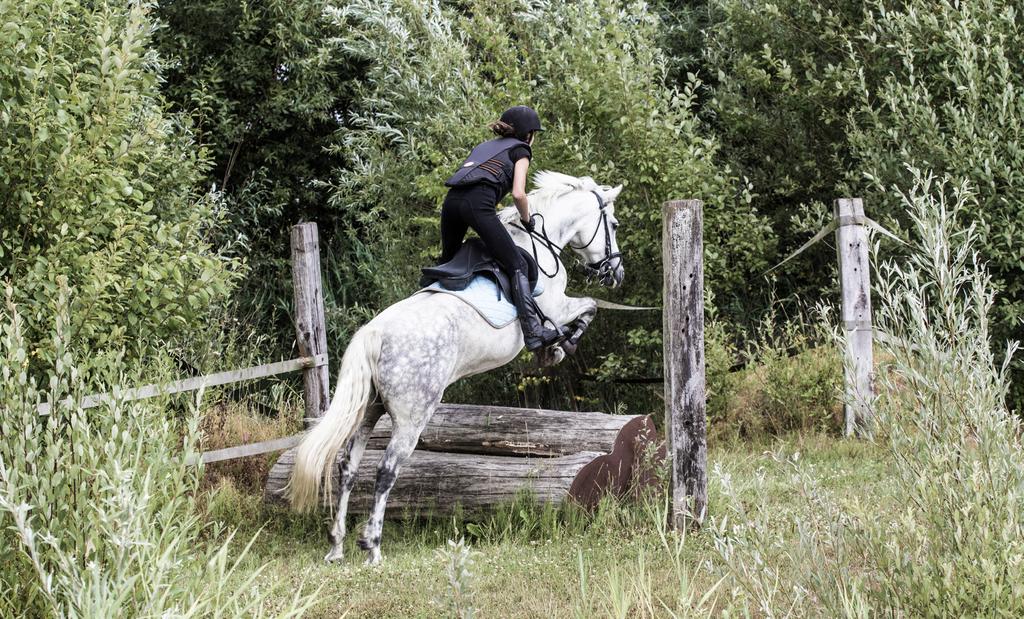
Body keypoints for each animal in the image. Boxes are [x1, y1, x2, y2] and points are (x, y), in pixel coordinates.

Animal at [284, 170, 626, 565]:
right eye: (613, 224)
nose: (616, 272)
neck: (541, 240)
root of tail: (374, 334)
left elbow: (588, 307)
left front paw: (555, 348)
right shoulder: (556, 307)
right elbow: (589, 307)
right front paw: (558, 347)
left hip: (370, 409)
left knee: (348, 466)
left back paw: (337, 546)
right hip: (412, 415)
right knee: (386, 470)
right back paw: (372, 546)